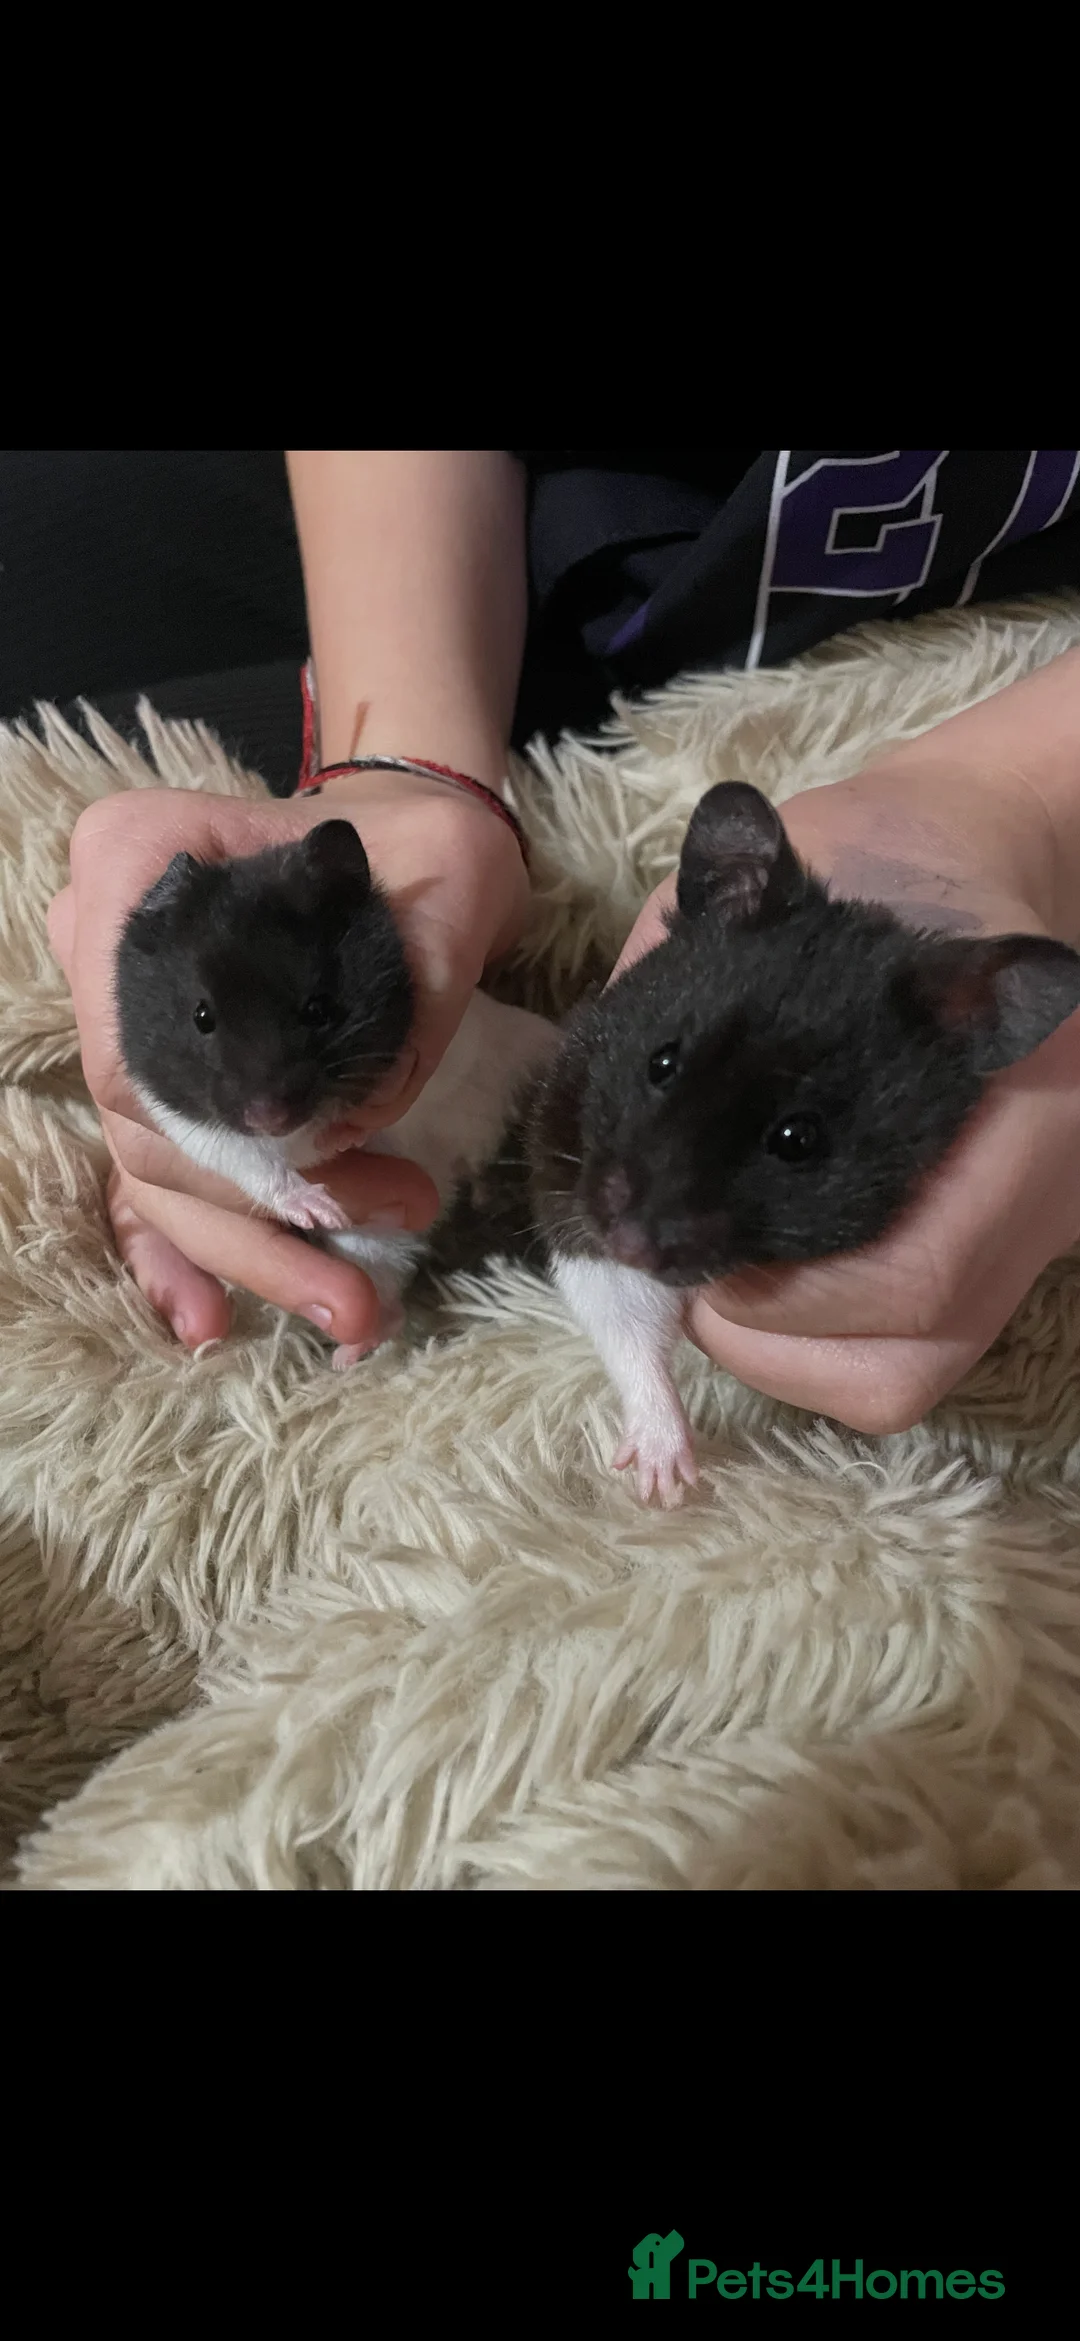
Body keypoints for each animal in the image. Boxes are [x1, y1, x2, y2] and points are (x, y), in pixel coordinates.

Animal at [116, 820, 558, 1347]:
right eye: (202, 1017)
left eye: (318, 1008)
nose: (269, 1118)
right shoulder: (189, 1129)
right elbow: (257, 1168)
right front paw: (321, 1209)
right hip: (372, 1245)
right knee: (385, 1293)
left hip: (521, 1040)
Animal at [528, 781, 1080, 1505]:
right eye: (662, 1062)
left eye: (797, 1139)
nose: (631, 1241)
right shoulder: (572, 1193)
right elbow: (625, 1319)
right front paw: (663, 1483)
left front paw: (669, 1486)